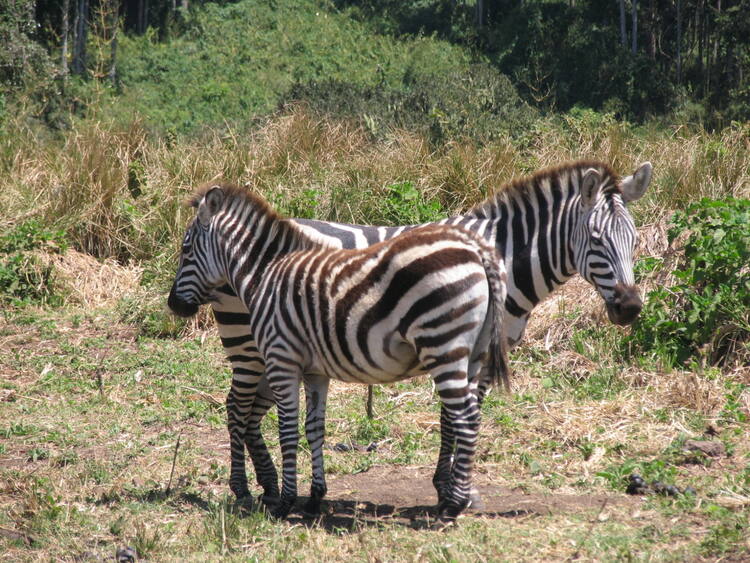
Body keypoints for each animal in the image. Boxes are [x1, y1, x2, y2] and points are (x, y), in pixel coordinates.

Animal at [170, 185, 512, 524]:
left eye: (186, 251)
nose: (174, 305)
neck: (264, 273)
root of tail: (478, 251)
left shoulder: (282, 359)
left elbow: (287, 431)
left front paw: (286, 502)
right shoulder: (315, 371)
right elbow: (314, 429)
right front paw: (314, 498)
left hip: (442, 343)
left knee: (465, 418)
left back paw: (453, 505)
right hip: (473, 353)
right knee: (471, 415)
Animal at [209, 160, 656, 512]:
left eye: (635, 241)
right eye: (596, 241)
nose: (630, 307)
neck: (501, 256)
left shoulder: (477, 351)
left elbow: (457, 416)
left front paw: (453, 487)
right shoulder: (456, 345)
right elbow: (453, 417)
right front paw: (451, 490)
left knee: (253, 411)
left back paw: (268, 486)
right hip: (250, 345)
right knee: (237, 405)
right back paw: (247, 489)